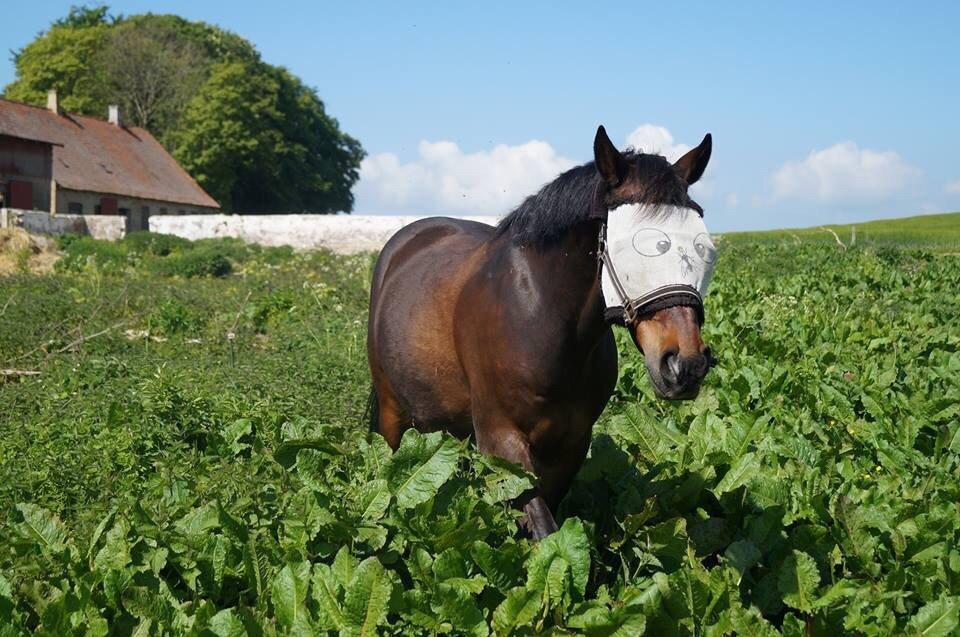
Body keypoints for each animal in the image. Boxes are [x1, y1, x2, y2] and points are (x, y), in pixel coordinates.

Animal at [368, 124, 712, 536]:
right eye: (641, 246)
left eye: (703, 246)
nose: (686, 365)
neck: (544, 323)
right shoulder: (501, 440)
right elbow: (544, 526)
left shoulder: (571, 444)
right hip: (392, 413)